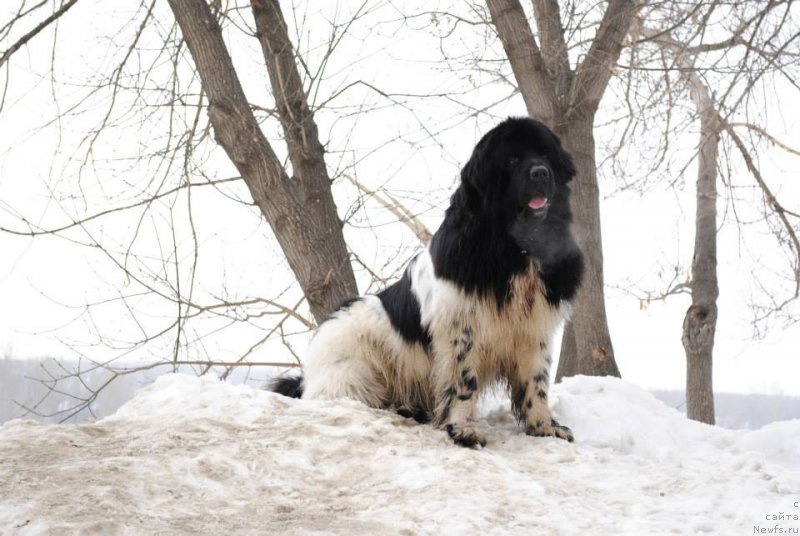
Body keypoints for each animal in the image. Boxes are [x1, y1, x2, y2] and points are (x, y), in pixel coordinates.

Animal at [272, 117, 584, 448]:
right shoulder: (460, 327)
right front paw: (463, 430)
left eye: (546, 155)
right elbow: (464, 382)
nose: (540, 172)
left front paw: (545, 427)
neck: (513, 249)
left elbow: (536, 381)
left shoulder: (534, 327)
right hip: (353, 364)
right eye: (512, 159)